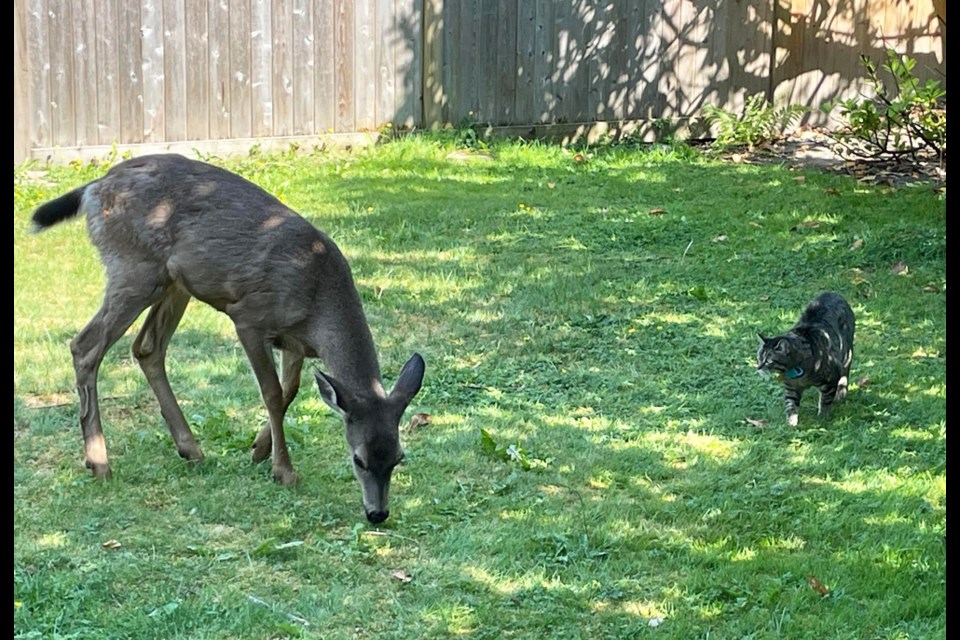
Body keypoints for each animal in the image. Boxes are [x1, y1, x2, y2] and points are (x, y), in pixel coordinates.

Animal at [29, 152, 424, 524]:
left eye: (398, 458)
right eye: (359, 460)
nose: (378, 513)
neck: (318, 301)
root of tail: (94, 187)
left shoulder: (294, 342)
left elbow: (291, 391)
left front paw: (259, 448)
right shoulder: (249, 319)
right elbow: (273, 393)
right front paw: (283, 470)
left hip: (173, 282)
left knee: (146, 347)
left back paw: (190, 449)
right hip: (134, 268)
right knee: (85, 345)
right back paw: (99, 461)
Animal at [756, 294, 856, 424]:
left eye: (768, 361)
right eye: (759, 358)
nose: (758, 367)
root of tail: (833, 293)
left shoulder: (832, 378)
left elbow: (825, 401)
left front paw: (822, 418)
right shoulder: (791, 387)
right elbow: (791, 405)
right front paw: (792, 423)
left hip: (846, 355)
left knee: (845, 375)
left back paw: (841, 393)